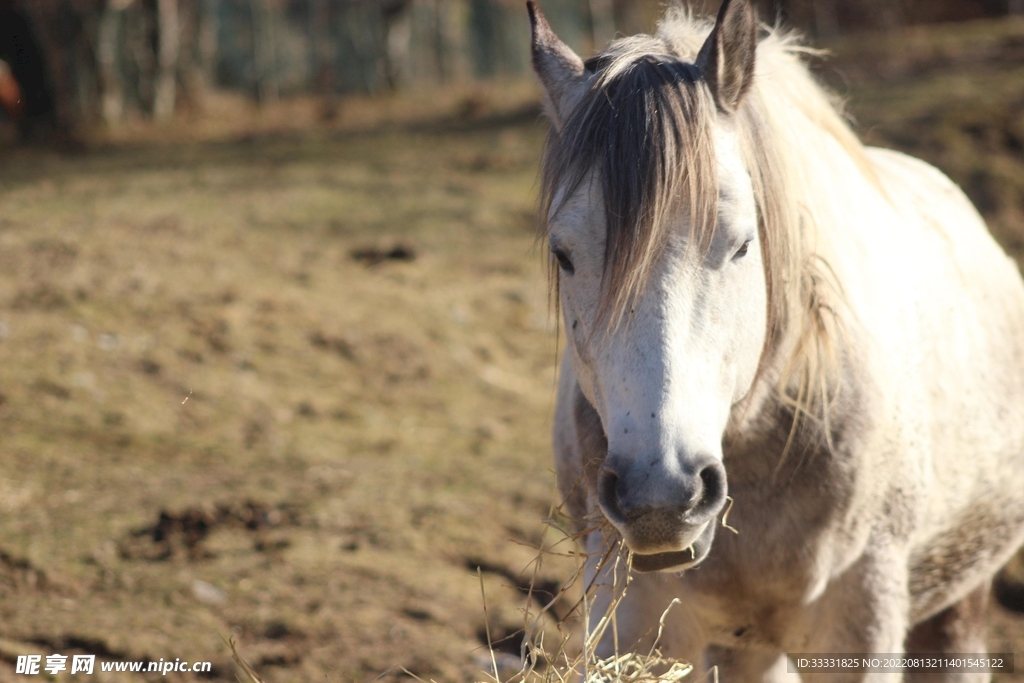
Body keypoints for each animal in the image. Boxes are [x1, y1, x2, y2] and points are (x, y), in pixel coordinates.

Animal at [528, 0, 1024, 679]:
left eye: (742, 244)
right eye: (563, 254)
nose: (661, 497)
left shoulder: (862, 618)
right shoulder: (629, 626)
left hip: (958, 602)